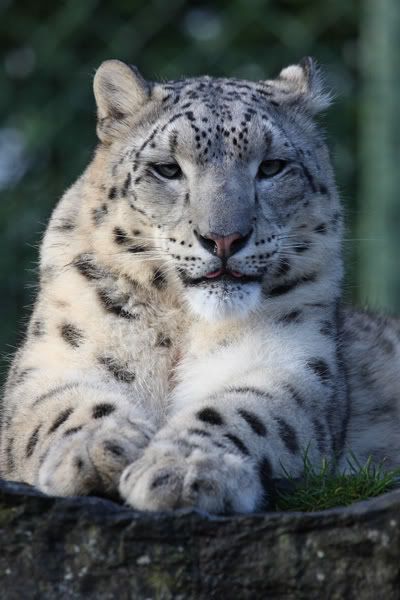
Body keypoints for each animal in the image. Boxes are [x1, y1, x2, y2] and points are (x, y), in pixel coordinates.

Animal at [1, 58, 398, 512]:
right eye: (168, 169)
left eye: (271, 166)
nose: (224, 238)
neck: (182, 323)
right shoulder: (58, 358)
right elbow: (64, 405)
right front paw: (97, 450)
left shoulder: (291, 364)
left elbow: (241, 412)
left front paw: (185, 470)